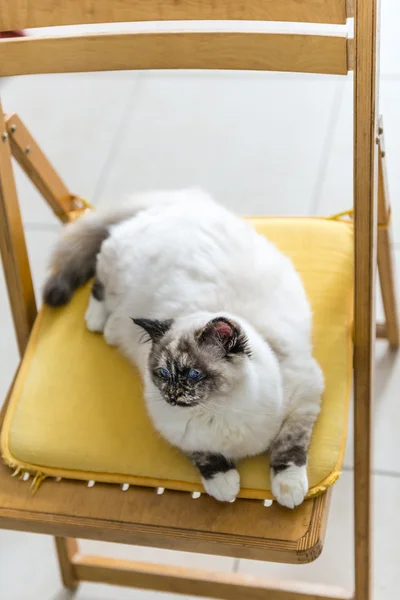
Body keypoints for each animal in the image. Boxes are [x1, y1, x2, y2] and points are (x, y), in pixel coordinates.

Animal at [43, 190, 324, 508]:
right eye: (163, 374)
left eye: (193, 375)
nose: (172, 394)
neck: (217, 411)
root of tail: (176, 201)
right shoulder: (179, 434)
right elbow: (205, 457)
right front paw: (225, 485)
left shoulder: (304, 397)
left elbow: (289, 445)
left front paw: (289, 490)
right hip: (115, 271)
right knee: (99, 290)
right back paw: (97, 322)